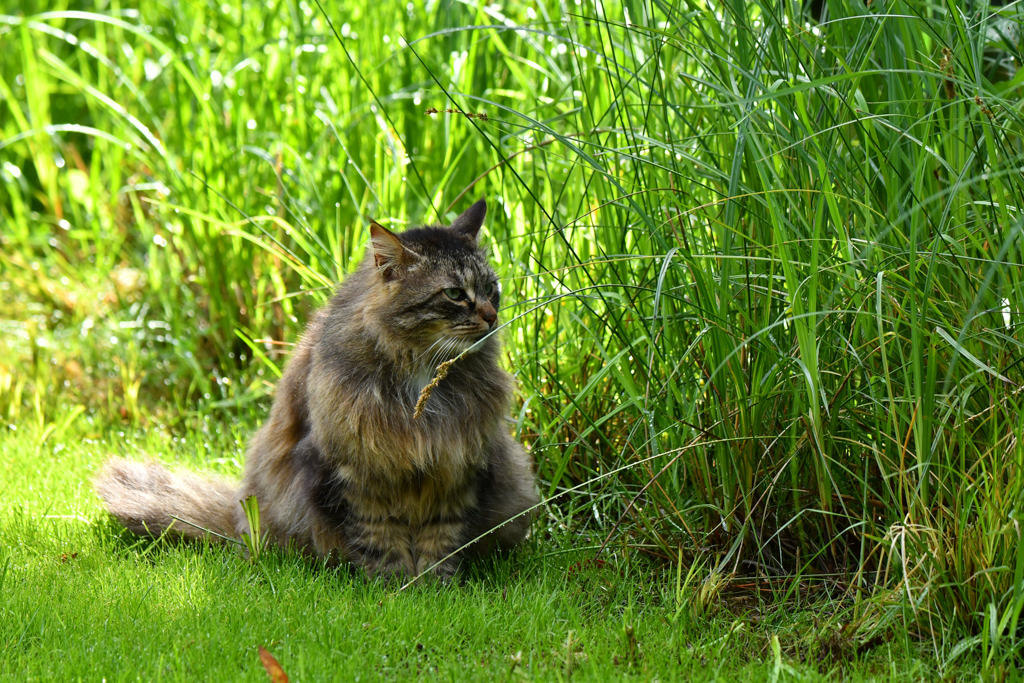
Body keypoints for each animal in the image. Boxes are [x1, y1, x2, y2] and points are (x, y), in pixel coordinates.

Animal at [96, 200, 540, 581]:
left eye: (492, 288)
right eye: (454, 294)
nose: (492, 316)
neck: (421, 374)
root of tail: (239, 517)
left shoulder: (456, 465)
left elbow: (442, 541)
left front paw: (434, 588)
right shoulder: (355, 472)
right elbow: (381, 542)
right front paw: (397, 590)